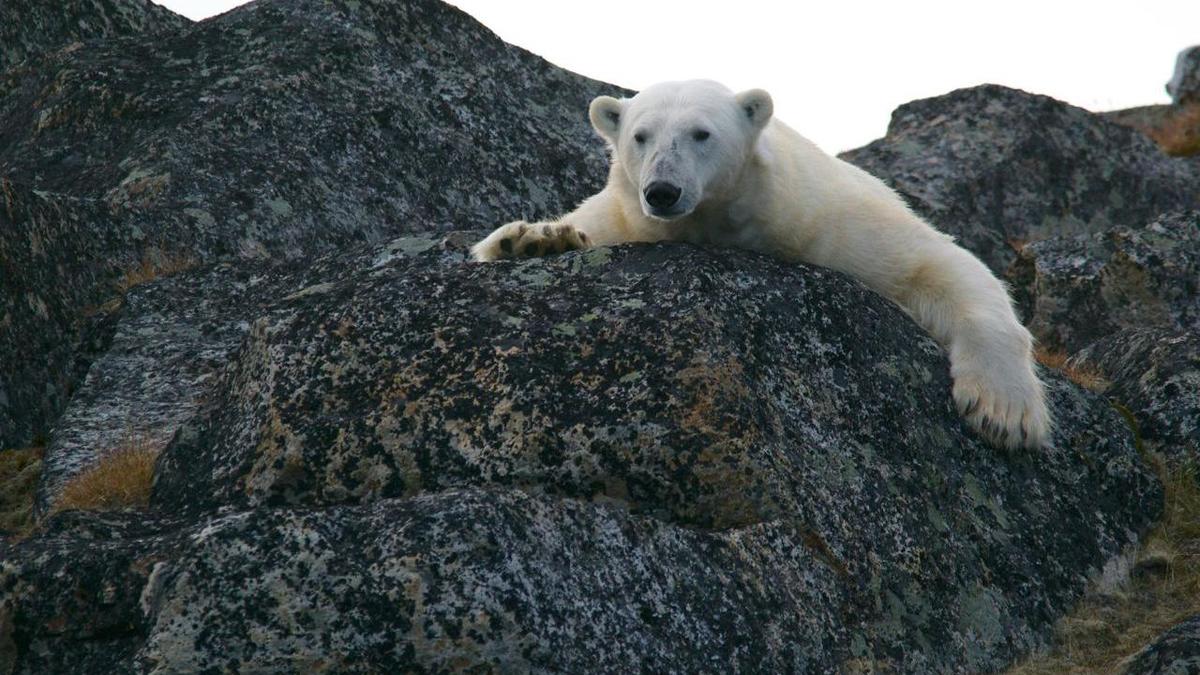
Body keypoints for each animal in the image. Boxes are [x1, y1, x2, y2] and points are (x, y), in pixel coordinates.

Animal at [468, 79, 1051, 446]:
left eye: (701, 133)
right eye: (640, 135)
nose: (662, 190)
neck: (724, 221)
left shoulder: (829, 220)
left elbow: (938, 265)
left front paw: (1003, 413)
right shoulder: (626, 216)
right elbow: (580, 226)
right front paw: (532, 239)